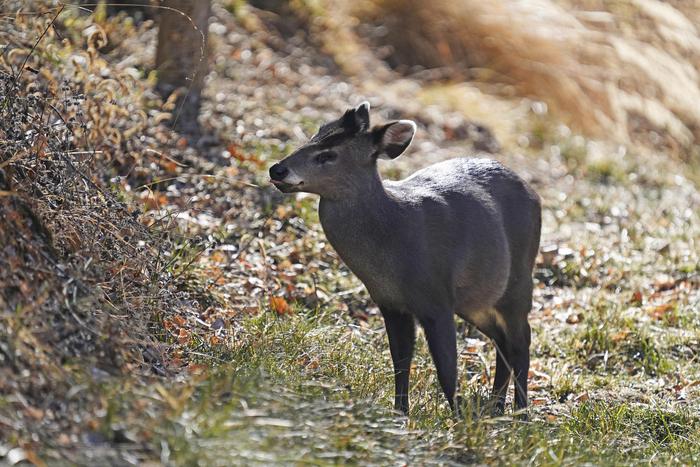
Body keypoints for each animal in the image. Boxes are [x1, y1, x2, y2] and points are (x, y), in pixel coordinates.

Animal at [268, 101, 540, 416]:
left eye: (328, 154)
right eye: (317, 132)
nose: (277, 169)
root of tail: (535, 195)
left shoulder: (436, 298)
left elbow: (446, 369)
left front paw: (458, 419)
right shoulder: (391, 303)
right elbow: (400, 360)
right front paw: (400, 413)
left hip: (518, 282)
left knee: (521, 340)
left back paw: (521, 414)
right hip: (477, 299)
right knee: (502, 340)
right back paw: (496, 409)